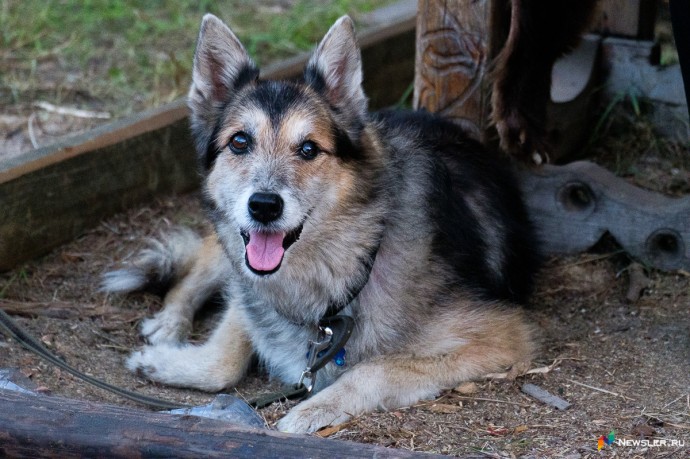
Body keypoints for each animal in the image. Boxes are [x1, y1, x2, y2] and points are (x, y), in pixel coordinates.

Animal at [105, 12, 540, 434]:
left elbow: (375, 368)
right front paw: (164, 361)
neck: (355, 261)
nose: (264, 206)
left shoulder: (505, 334)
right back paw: (169, 322)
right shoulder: (250, 290)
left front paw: (315, 409)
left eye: (309, 149)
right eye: (240, 142)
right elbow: (224, 359)